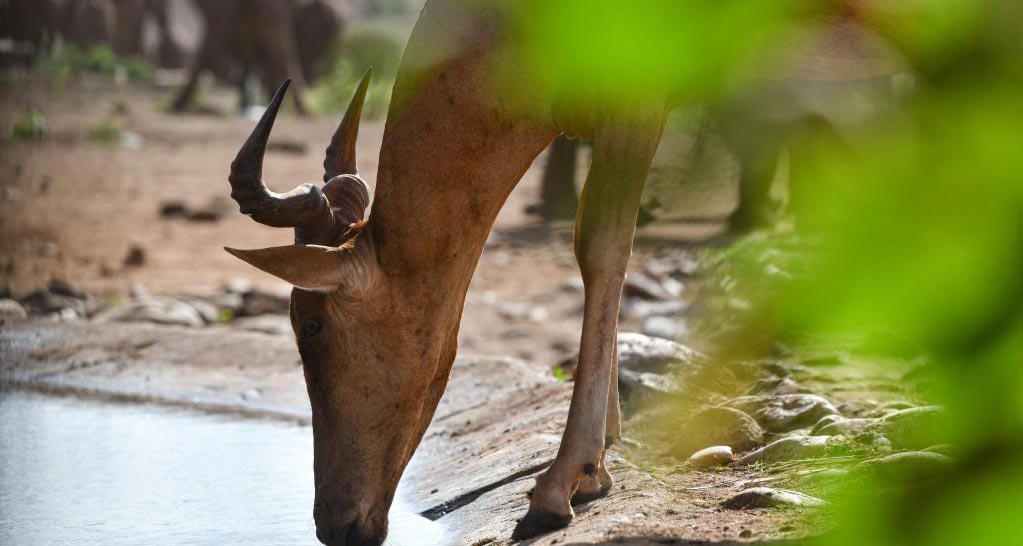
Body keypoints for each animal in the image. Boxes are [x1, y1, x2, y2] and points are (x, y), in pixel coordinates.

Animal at [226, 1, 904, 546]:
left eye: (312, 323)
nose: (336, 526)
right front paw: (599, 467)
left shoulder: (640, 93)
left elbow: (600, 245)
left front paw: (556, 490)